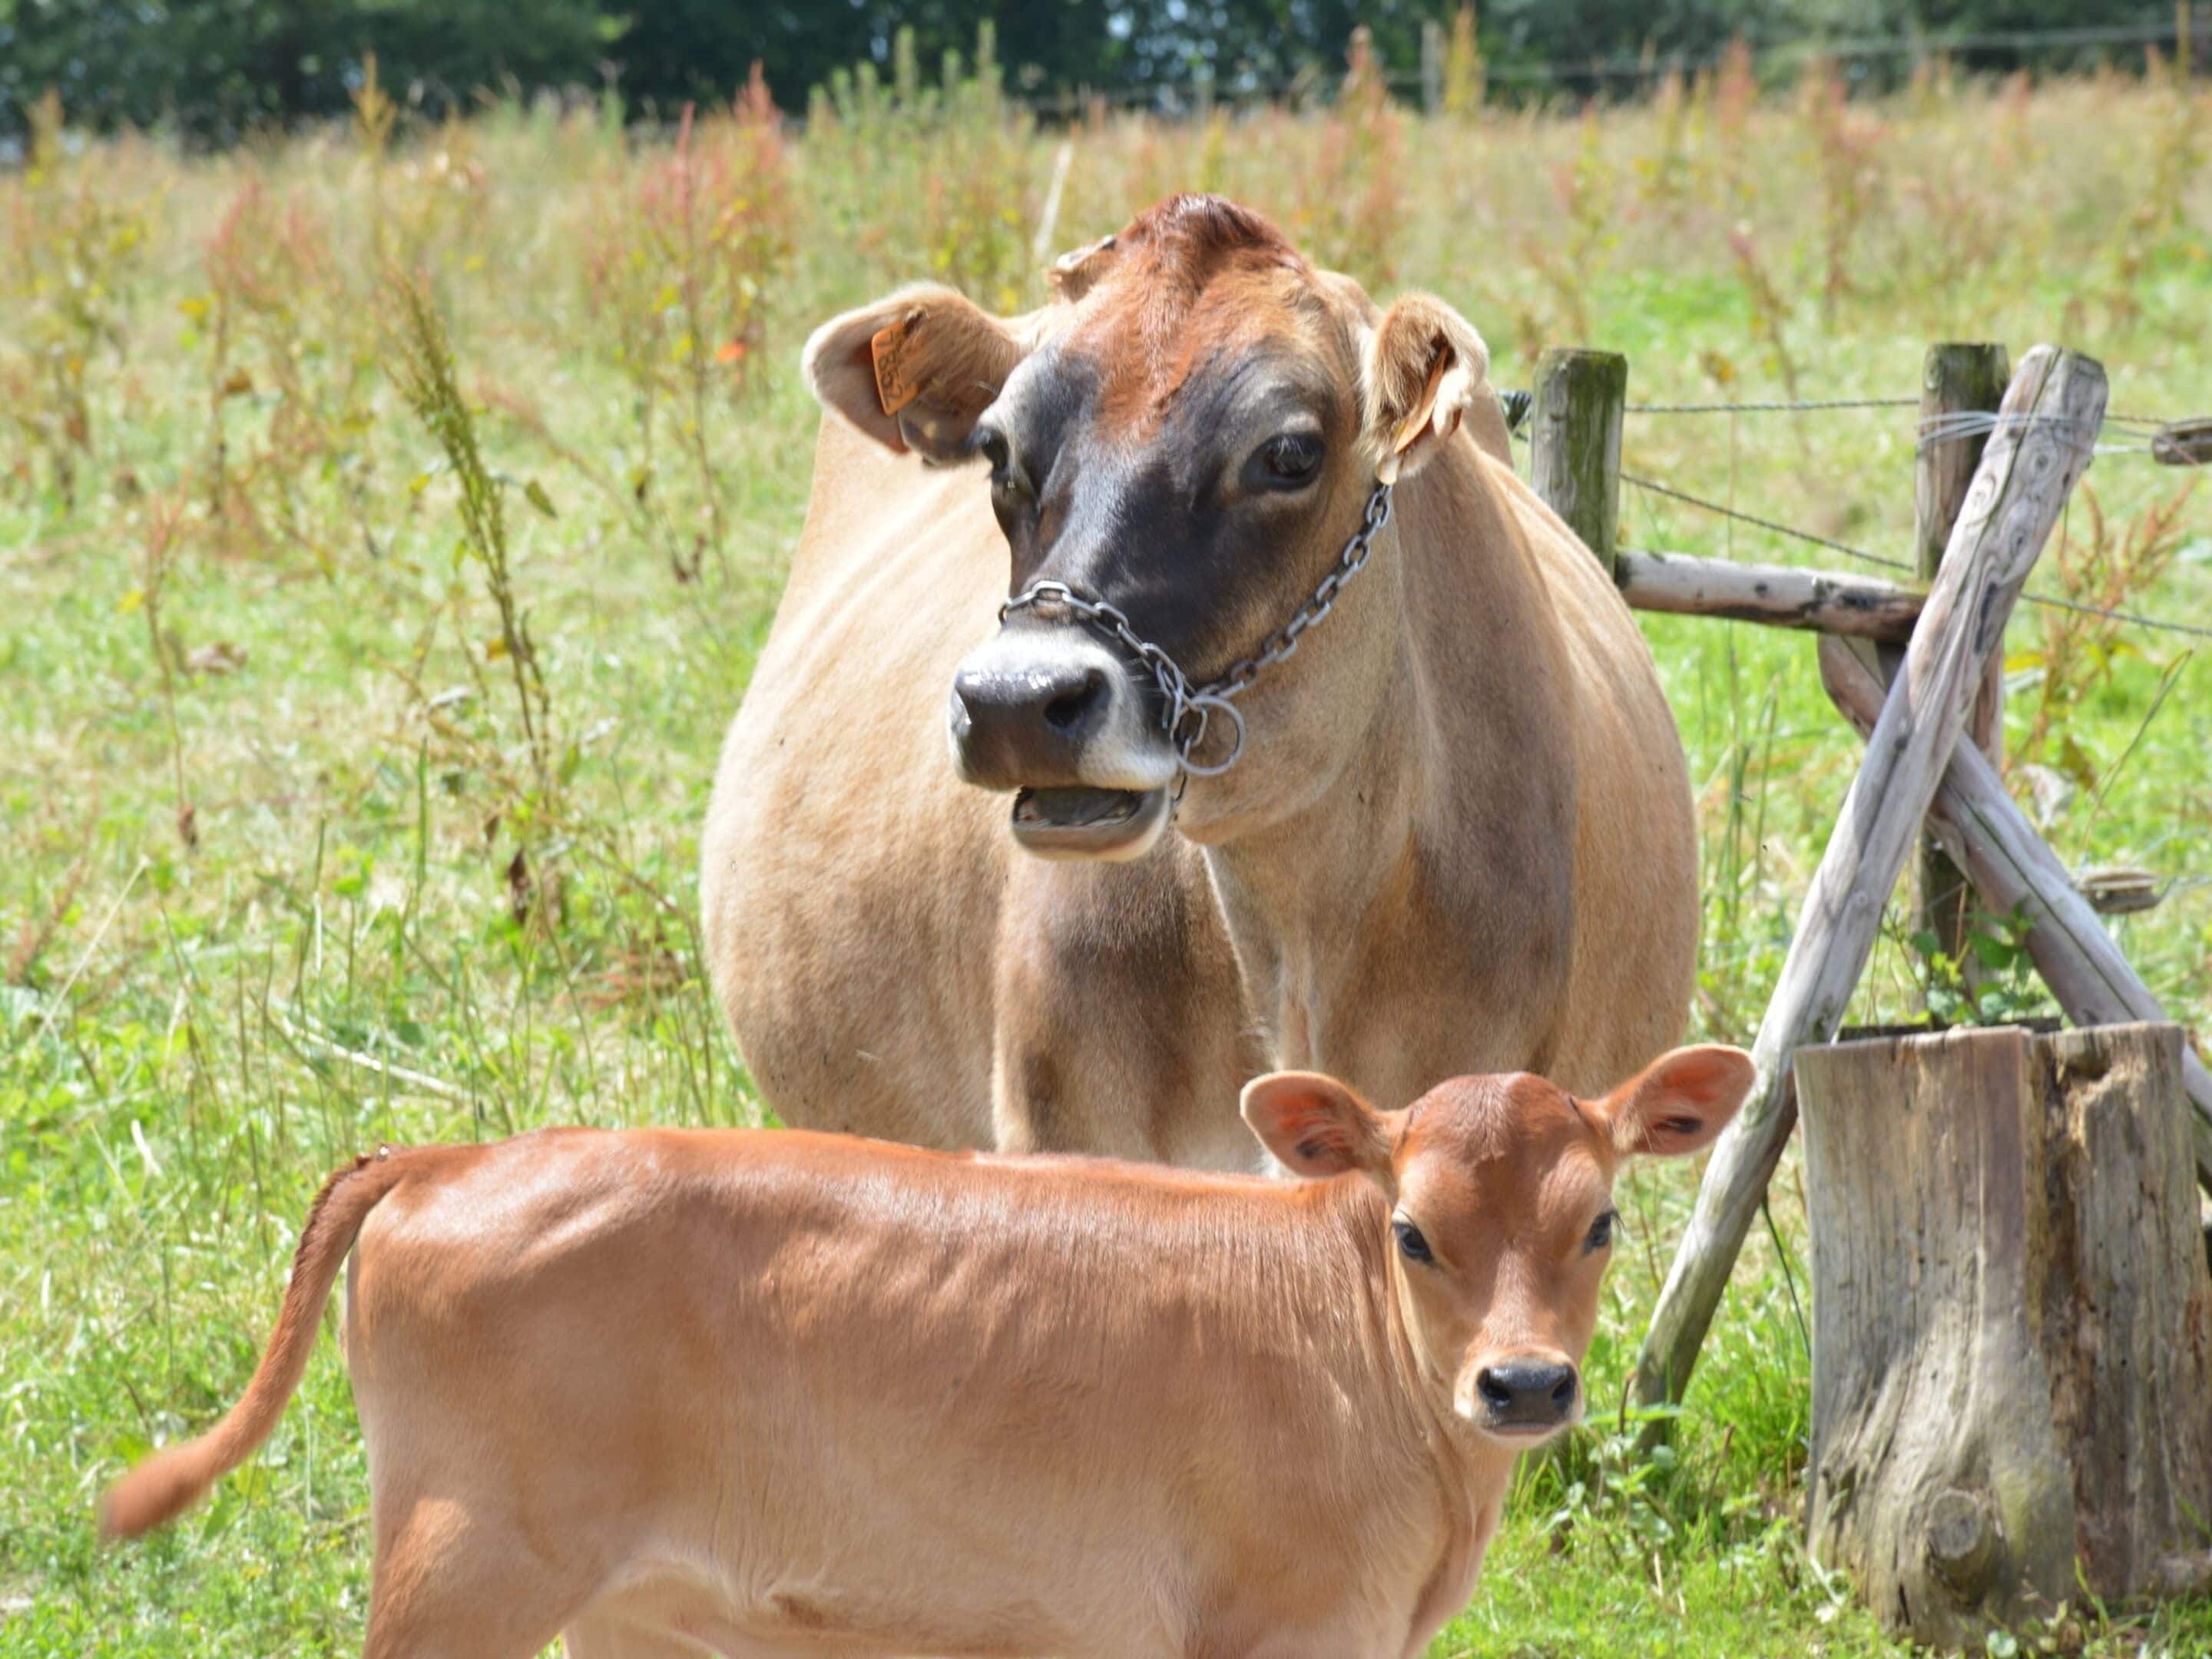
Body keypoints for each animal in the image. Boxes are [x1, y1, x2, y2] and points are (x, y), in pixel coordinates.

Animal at [102, 1044, 1753, 1658]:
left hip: (628, 1607)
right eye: (1413, 1230)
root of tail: (455, 1153)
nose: (1525, 1383)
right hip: (466, 1567)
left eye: (1602, 1220)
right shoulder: (1274, 1632)